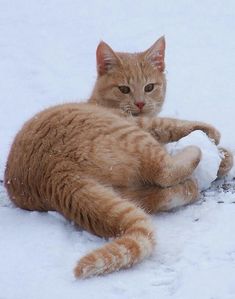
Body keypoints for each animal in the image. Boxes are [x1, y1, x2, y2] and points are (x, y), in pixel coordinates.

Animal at [4, 37, 232, 278]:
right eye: (124, 89)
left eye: (149, 87)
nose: (140, 103)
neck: (99, 101)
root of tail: (54, 172)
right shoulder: (137, 122)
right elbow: (169, 124)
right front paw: (212, 137)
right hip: (130, 136)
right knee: (164, 170)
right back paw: (197, 155)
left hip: (125, 192)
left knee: (159, 196)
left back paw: (192, 183)